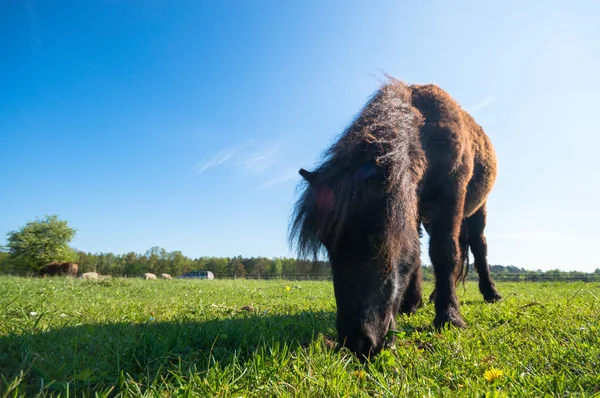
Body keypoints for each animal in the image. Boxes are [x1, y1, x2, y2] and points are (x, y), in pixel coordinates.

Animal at [290, 77, 502, 358]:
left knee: (478, 246)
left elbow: (445, 253)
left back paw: (490, 293)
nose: (357, 341)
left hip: (477, 210)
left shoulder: (450, 198)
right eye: (328, 245)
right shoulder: (412, 208)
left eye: (376, 235)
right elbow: (419, 254)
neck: (427, 131)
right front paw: (413, 303)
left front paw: (449, 317)